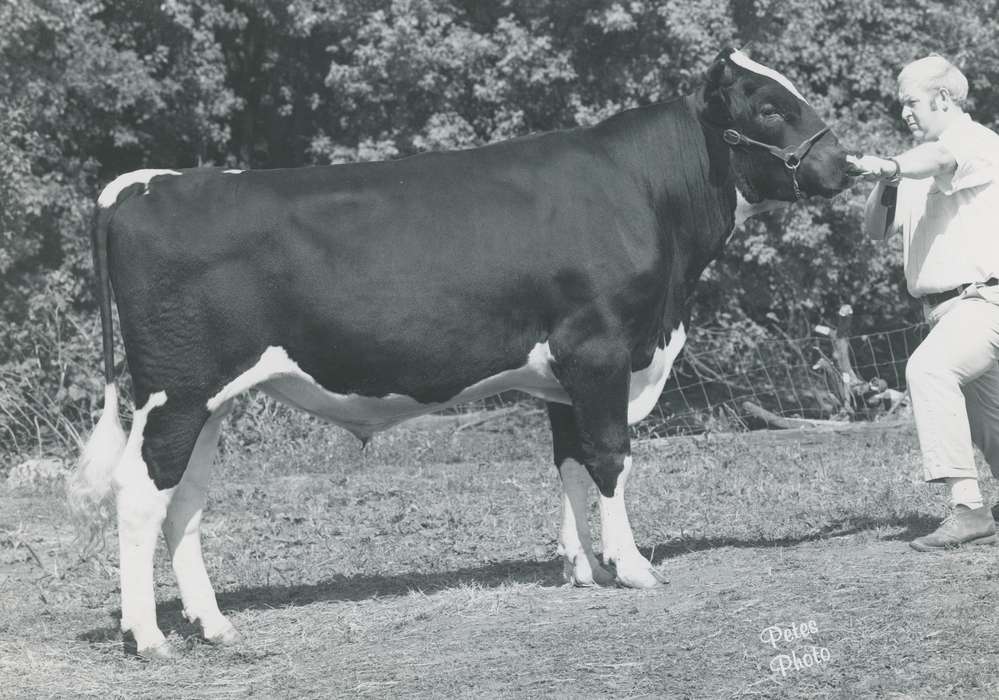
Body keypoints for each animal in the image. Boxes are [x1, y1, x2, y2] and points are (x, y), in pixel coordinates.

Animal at [69, 48, 852, 659]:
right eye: (768, 106)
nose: (843, 162)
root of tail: (147, 182)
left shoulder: (564, 375)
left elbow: (569, 463)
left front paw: (583, 570)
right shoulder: (598, 352)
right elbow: (609, 458)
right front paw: (631, 567)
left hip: (211, 398)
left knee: (184, 498)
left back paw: (214, 624)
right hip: (177, 390)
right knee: (140, 491)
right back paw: (148, 636)